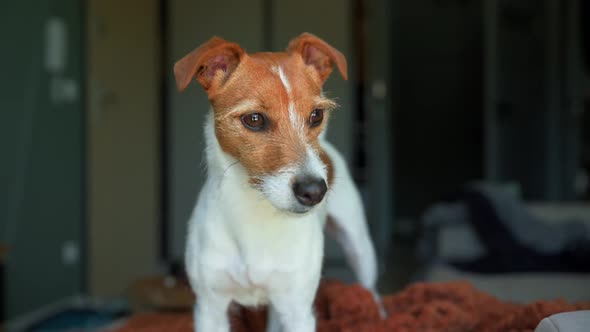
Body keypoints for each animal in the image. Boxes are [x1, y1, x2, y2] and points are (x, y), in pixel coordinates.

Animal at [173, 31, 382, 332]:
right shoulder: (210, 309)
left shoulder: (298, 311)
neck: (253, 212)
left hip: (358, 246)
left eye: (316, 115)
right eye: (254, 119)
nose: (315, 191)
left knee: (371, 289)